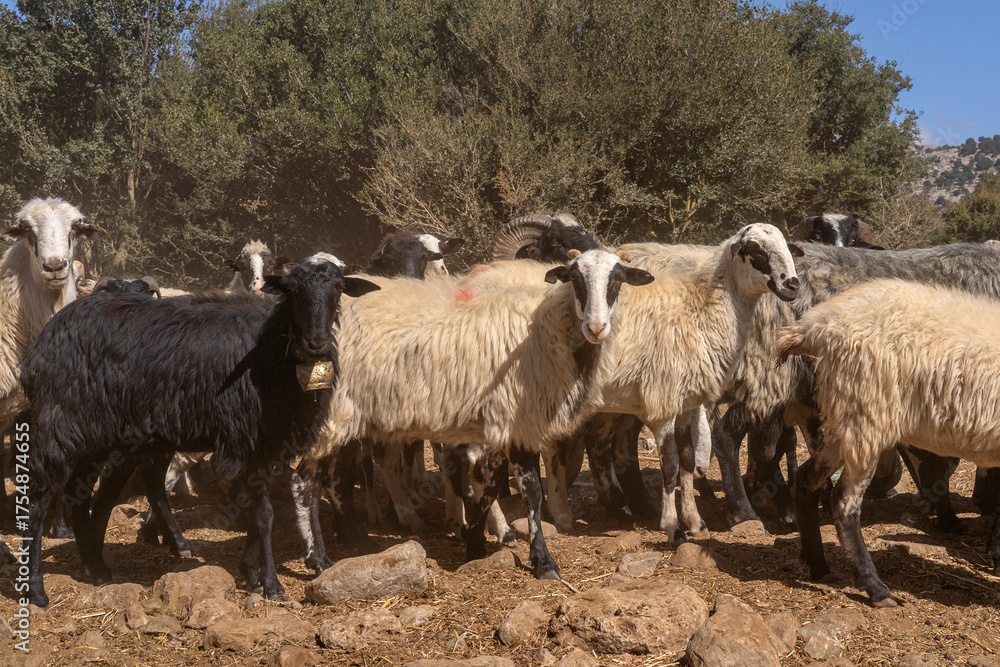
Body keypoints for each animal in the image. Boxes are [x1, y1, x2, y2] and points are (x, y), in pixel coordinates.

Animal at [17, 255, 380, 607]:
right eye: (292, 290)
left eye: (338, 289)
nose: (316, 343)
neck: (276, 350)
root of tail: (42, 342)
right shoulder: (245, 438)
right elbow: (264, 516)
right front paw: (271, 584)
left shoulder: (268, 445)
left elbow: (255, 515)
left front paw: (250, 573)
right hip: (59, 426)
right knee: (38, 502)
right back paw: (36, 591)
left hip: (98, 437)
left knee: (81, 498)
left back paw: (98, 570)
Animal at [776, 279, 1000, 607]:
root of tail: (816, 325)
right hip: (866, 414)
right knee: (844, 503)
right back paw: (876, 588)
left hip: (847, 419)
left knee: (805, 481)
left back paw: (820, 567)